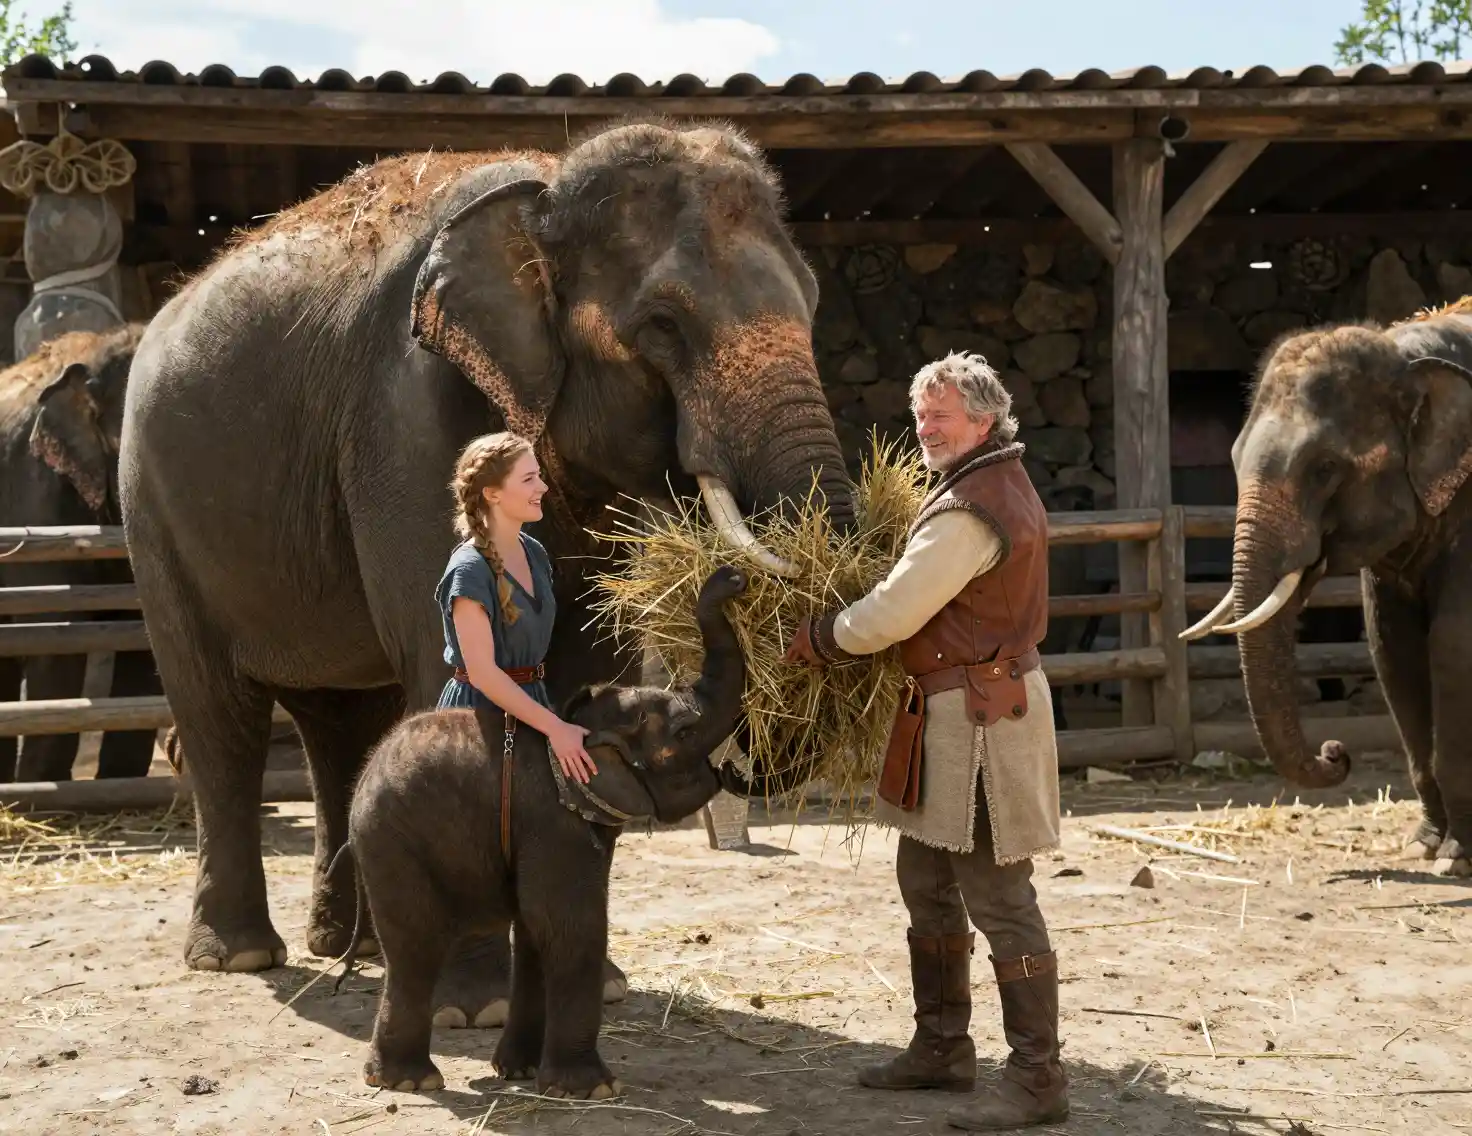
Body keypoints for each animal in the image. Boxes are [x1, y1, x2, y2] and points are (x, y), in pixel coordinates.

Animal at [118, 121, 854, 1024]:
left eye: (812, 302)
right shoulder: (407, 416)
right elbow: (454, 663)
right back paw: (241, 956)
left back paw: (355, 946)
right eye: (662, 324)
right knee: (220, 713)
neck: (546, 189)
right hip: (153, 514)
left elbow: (586, 666)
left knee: (339, 720)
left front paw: (596, 983)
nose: (742, 582)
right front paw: (480, 1009)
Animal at [330, 565, 749, 1097]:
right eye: (683, 734)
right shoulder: (552, 822)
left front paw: (521, 1072)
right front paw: (591, 1090)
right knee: (414, 944)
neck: (579, 725)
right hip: (395, 843)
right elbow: (569, 924)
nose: (732, 577)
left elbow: (535, 930)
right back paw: (411, 1082)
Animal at [1181, 298, 1472, 877]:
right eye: (1233, 458)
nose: (1335, 751)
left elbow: (1453, 644)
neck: (1404, 351)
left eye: (1325, 468)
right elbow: (1393, 648)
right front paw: (1422, 848)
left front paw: (1454, 863)